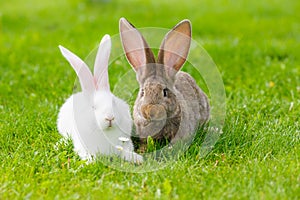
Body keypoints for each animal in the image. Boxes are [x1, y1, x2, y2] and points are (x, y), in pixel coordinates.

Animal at [57, 34, 144, 162]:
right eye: (93, 107)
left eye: (114, 102)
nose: (110, 118)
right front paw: (90, 162)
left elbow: (125, 150)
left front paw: (137, 159)